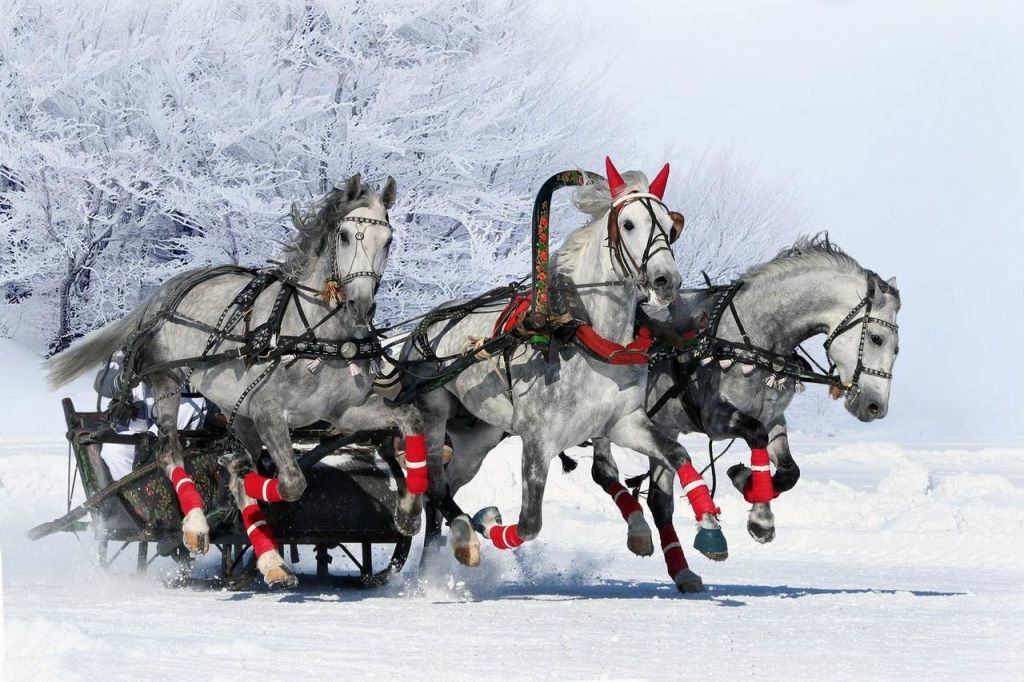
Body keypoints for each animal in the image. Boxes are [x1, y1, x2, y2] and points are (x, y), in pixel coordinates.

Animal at [47, 174, 429, 588]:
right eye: (344, 236)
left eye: (388, 239)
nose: (361, 305)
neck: (315, 336)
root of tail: (160, 294)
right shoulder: (269, 413)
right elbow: (291, 482)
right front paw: (231, 485)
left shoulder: (344, 412)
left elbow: (410, 418)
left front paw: (409, 512)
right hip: (168, 382)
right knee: (170, 451)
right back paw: (196, 525)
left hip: (239, 410)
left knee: (239, 468)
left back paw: (271, 560)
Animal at [403, 159, 723, 592]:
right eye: (628, 224)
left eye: (669, 226)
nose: (665, 280)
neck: (590, 340)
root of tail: (421, 329)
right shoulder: (538, 439)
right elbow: (529, 524)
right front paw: (489, 522)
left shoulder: (623, 423)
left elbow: (677, 454)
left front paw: (709, 526)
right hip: (434, 411)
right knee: (435, 486)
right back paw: (464, 537)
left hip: (477, 437)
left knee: (446, 487)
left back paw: (436, 560)